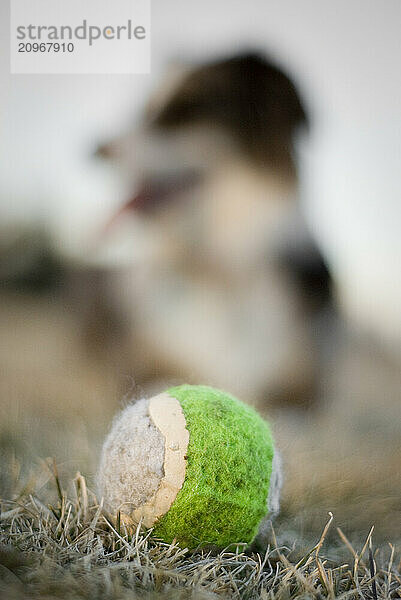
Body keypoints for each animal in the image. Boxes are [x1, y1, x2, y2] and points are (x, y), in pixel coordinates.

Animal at [96, 52, 328, 408]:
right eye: (146, 113)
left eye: (187, 108)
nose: (93, 149)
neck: (217, 272)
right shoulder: (144, 361)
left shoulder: (302, 384)